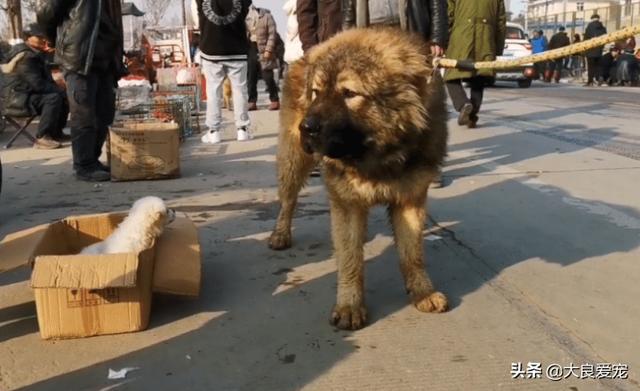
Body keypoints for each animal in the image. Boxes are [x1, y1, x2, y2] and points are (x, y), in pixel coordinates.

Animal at [268, 26, 448, 330]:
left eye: (349, 93)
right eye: (316, 93)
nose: (306, 127)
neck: (378, 156)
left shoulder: (410, 197)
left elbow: (412, 253)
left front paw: (422, 291)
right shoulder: (347, 202)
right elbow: (350, 258)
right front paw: (349, 305)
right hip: (294, 159)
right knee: (288, 200)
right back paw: (280, 233)